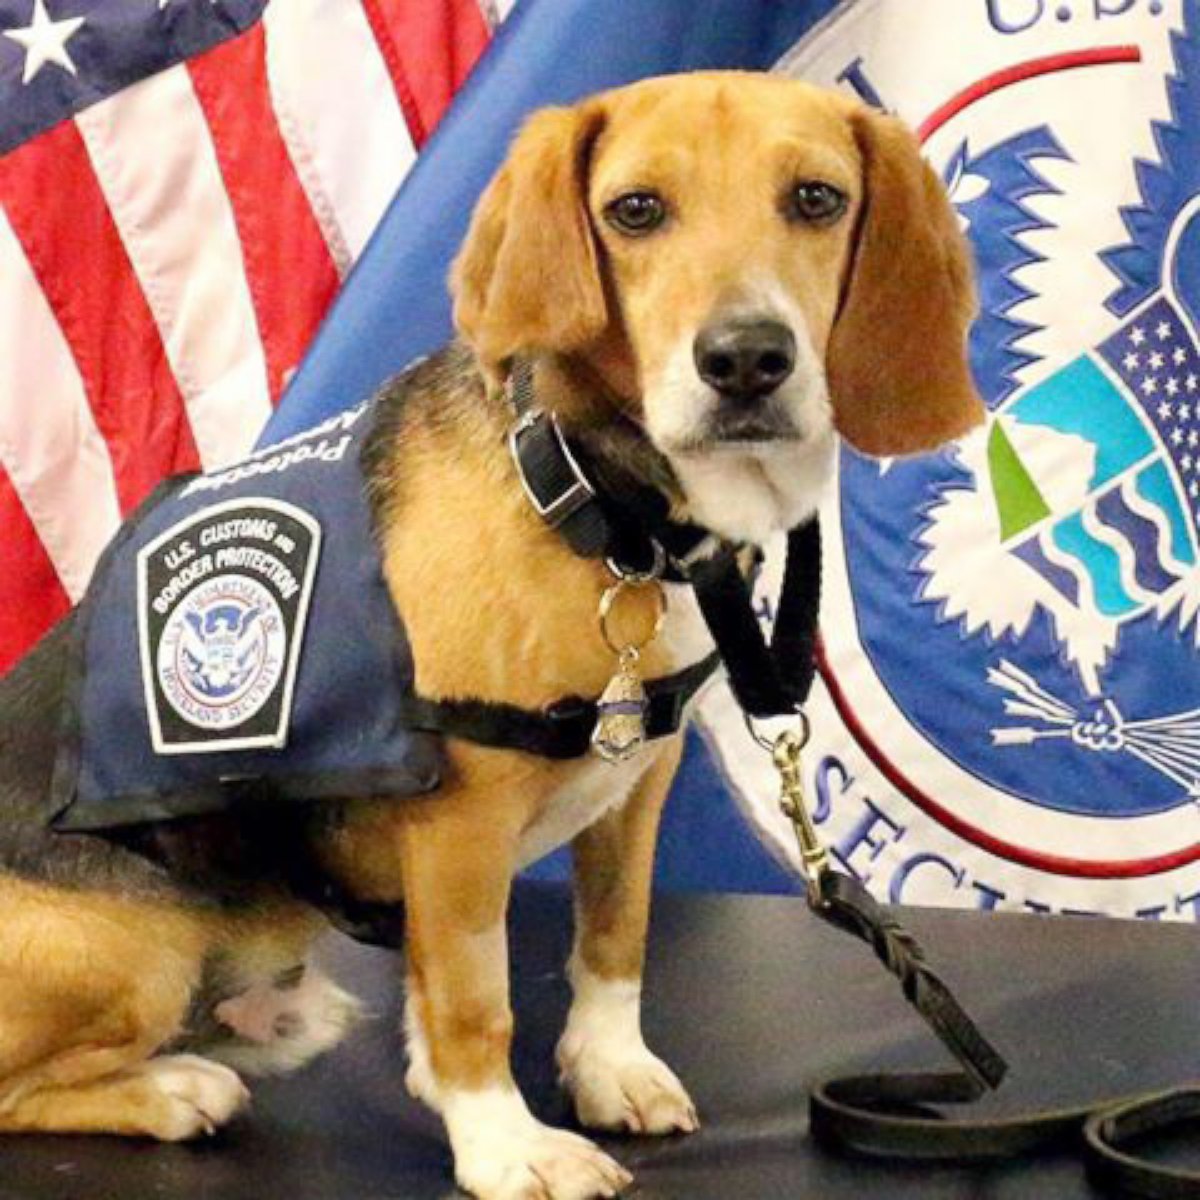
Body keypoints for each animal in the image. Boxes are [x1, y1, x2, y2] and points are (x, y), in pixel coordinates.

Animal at [0, 72, 979, 1200]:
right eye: (635, 211)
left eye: (817, 199)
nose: (745, 360)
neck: (603, 511)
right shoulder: (460, 824)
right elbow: (477, 1001)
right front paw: (504, 1143)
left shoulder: (638, 781)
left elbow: (614, 941)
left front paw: (607, 1068)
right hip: (138, 957)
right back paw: (173, 1089)